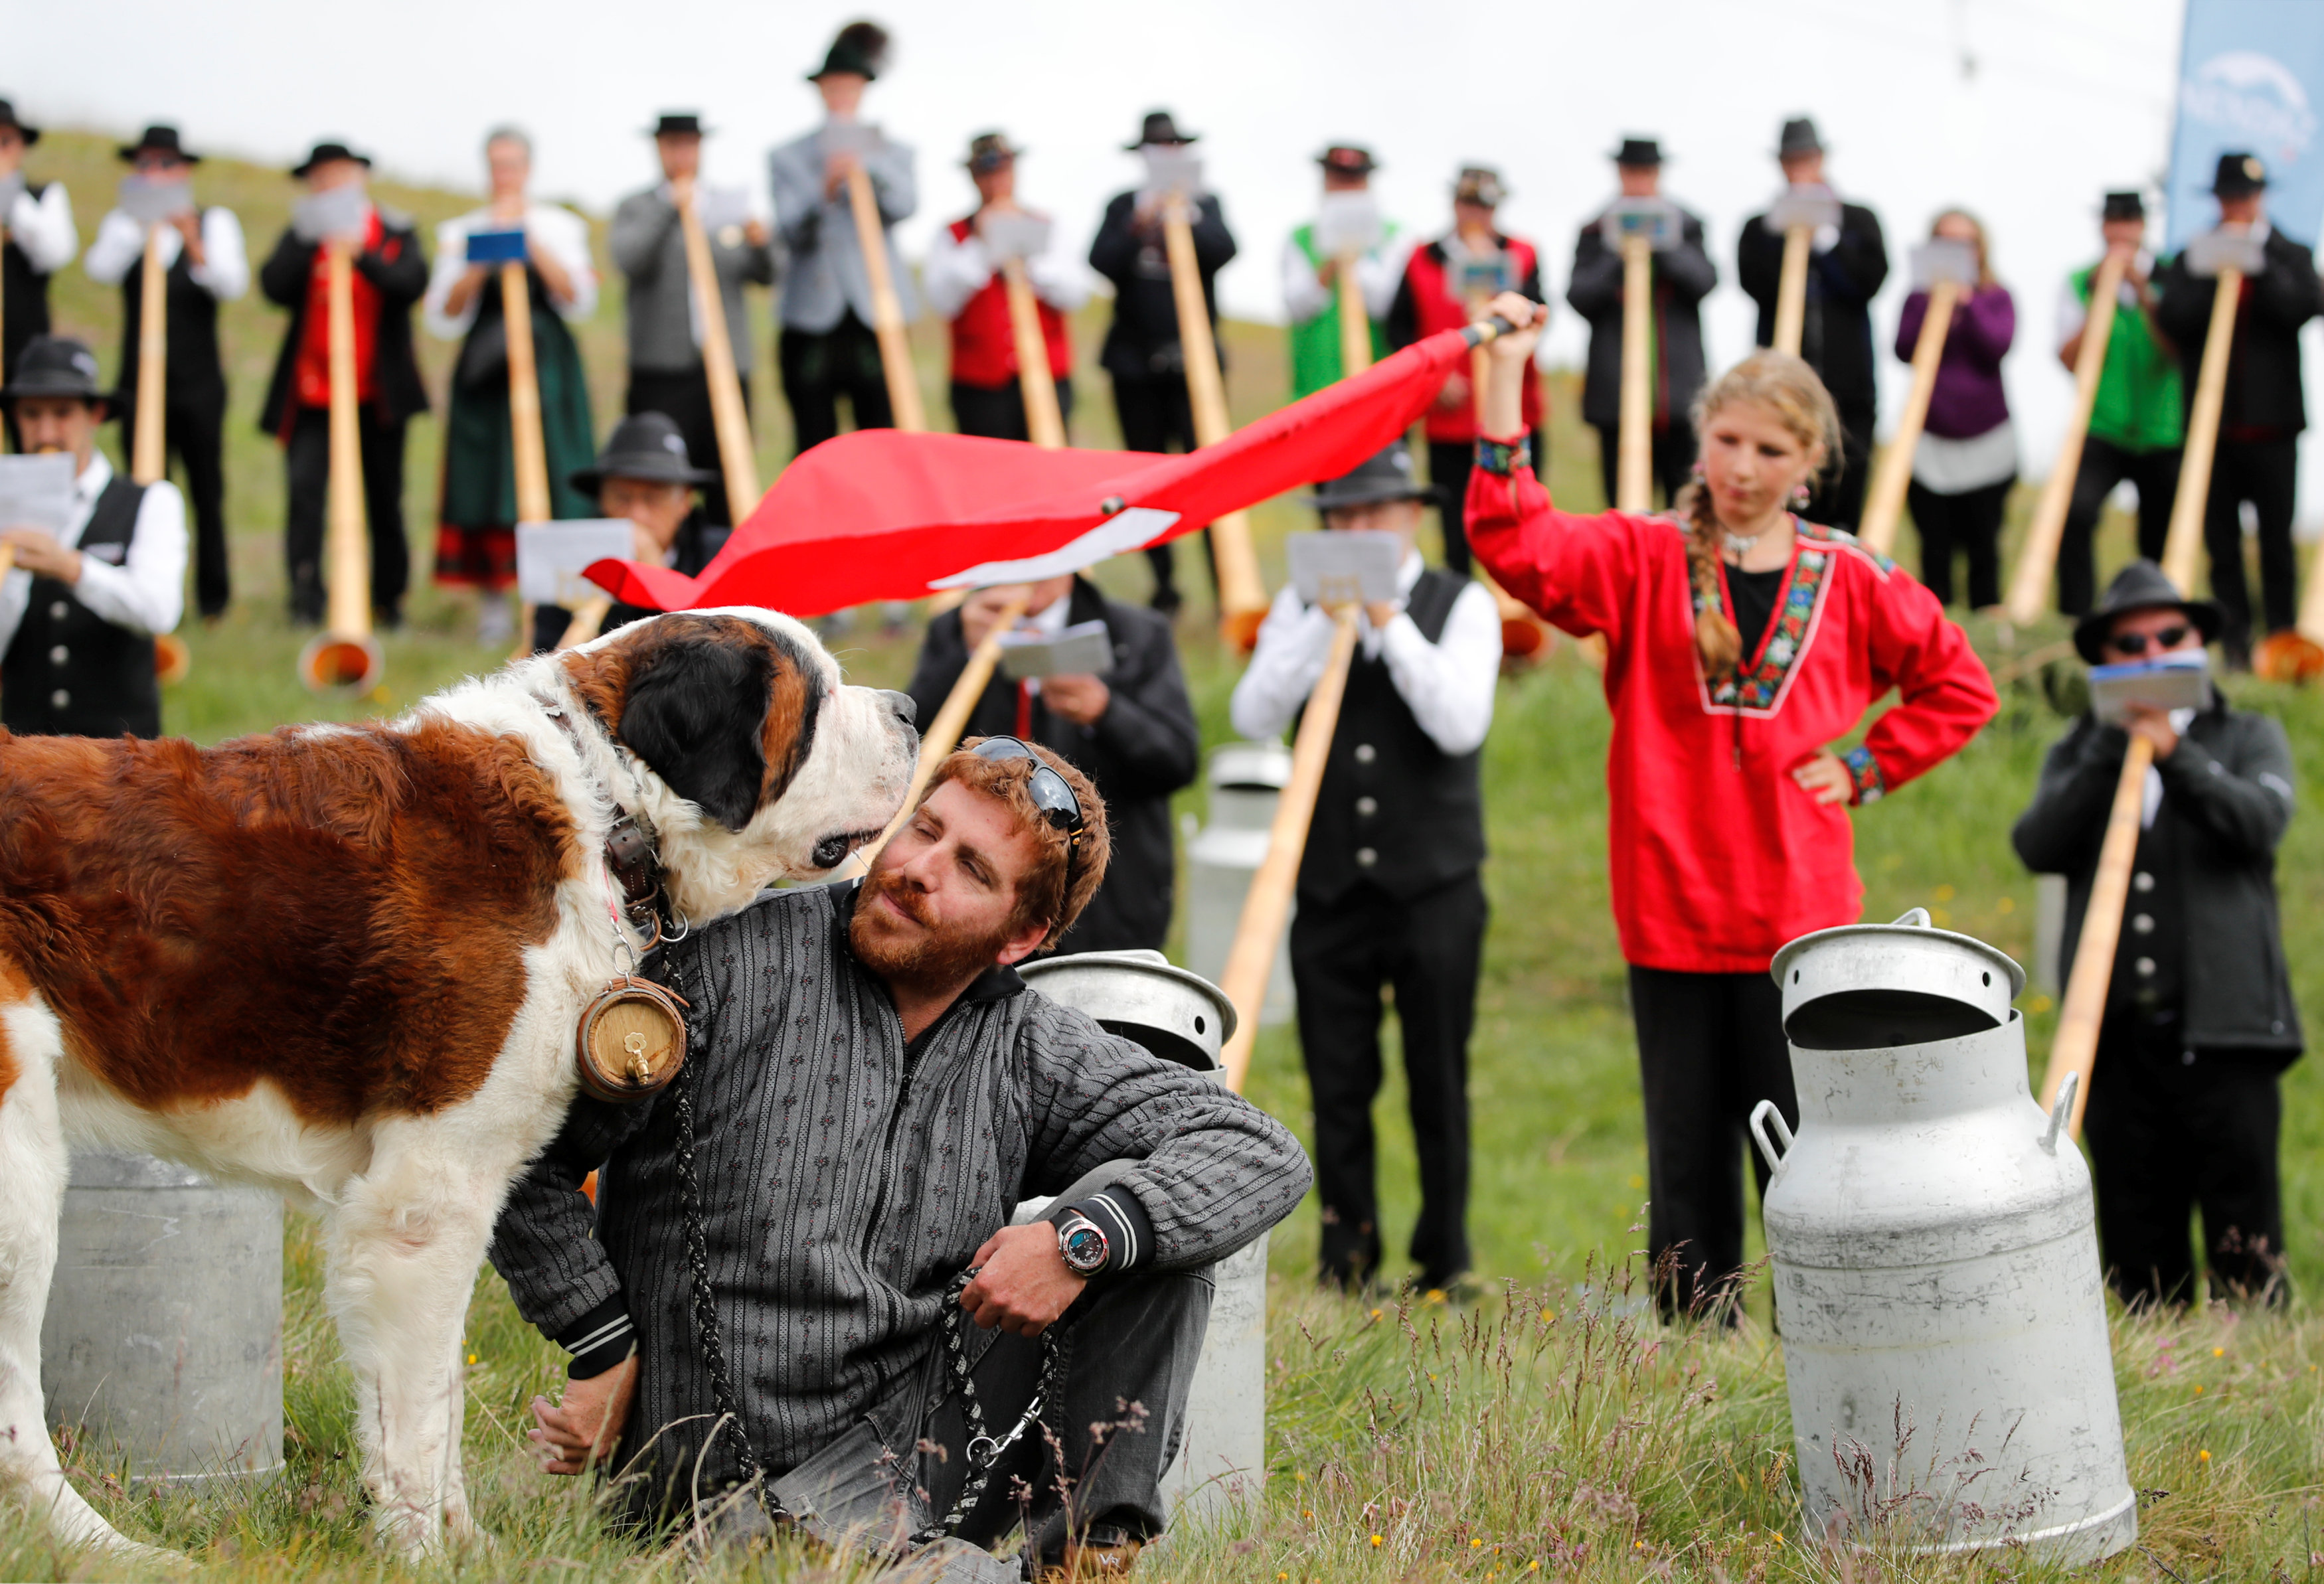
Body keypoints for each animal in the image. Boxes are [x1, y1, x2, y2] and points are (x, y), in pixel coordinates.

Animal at [0, 608, 916, 1551]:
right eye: (817, 699)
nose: (913, 710)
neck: (604, 808)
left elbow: (436, 1394)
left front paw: (463, 1547)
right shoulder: (425, 1200)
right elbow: (415, 1417)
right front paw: (416, 1552)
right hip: (18, 1178)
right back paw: (101, 1546)